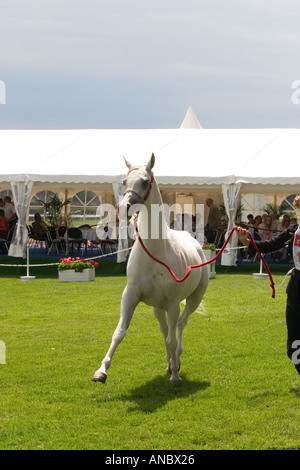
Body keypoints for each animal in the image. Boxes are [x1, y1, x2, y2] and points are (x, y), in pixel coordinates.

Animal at [92, 153, 209, 382]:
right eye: (124, 181)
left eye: (145, 181)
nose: (124, 208)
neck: (155, 253)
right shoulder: (130, 296)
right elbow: (119, 332)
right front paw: (101, 371)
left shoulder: (173, 303)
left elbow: (172, 339)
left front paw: (175, 375)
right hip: (158, 308)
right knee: (165, 331)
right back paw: (170, 363)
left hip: (192, 299)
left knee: (179, 326)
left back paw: (176, 363)